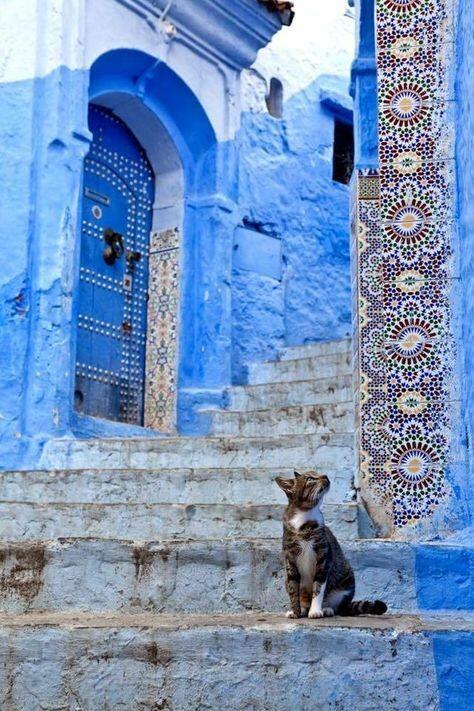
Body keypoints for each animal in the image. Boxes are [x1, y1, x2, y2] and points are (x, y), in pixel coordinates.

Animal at [276, 472, 386, 616]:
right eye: (310, 478)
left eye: (317, 473)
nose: (325, 476)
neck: (305, 520)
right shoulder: (290, 558)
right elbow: (293, 588)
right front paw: (295, 612)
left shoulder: (323, 557)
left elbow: (318, 586)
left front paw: (315, 611)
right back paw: (304, 608)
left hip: (346, 580)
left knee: (337, 606)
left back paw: (326, 609)